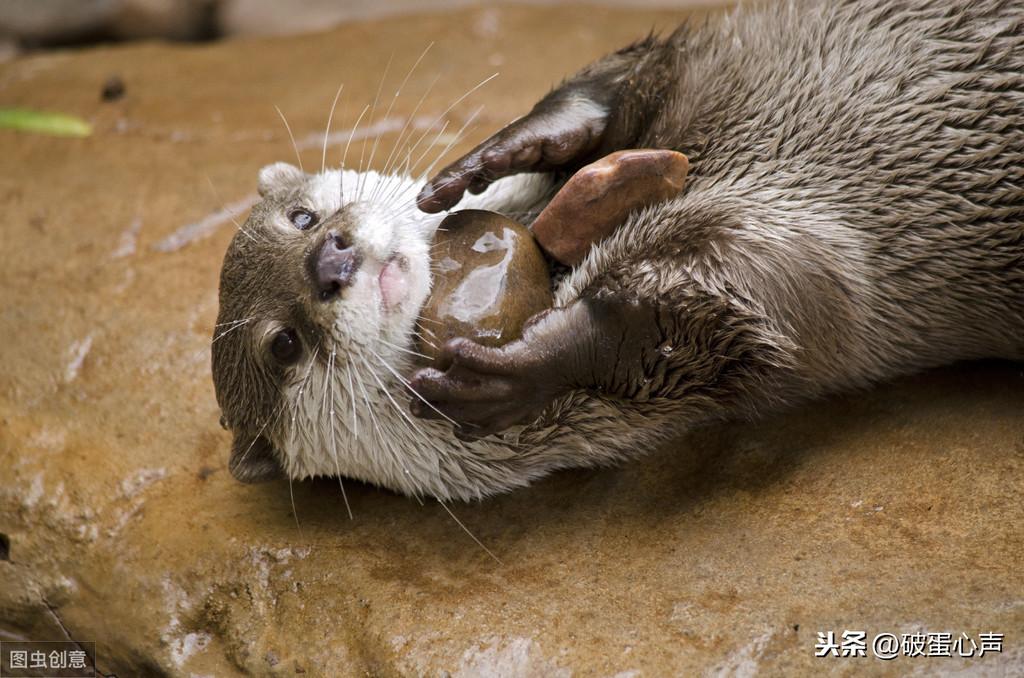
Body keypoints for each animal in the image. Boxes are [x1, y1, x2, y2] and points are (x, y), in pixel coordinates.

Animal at [209, 0, 1024, 499]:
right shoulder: (776, 255)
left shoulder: (694, 70)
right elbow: (731, 312)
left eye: (304, 217)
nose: (332, 260)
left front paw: (498, 154)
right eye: (282, 345)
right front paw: (526, 366)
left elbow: (630, 78)